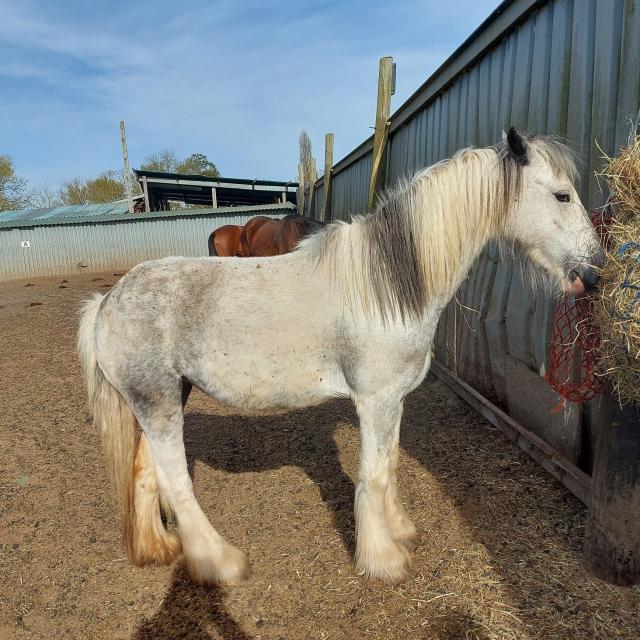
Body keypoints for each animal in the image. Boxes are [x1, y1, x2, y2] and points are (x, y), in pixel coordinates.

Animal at [78, 129, 603, 587]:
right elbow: (373, 475)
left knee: (145, 473)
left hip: (162, 398)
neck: (386, 284)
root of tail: (107, 301)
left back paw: (157, 548)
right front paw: (383, 559)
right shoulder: (374, 400)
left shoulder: (394, 400)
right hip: (160, 403)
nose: (594, 274)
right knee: (176, 482)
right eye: (561, 195)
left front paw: (399, 530)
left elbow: (390, 463)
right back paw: (220, 562)